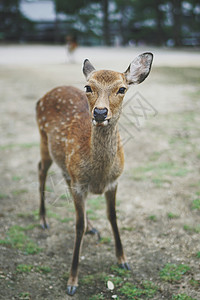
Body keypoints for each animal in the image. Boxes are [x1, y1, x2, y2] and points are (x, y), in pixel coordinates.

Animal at [36, 52, 153, 296]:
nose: (100, 112)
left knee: (62, 177)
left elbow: (113, 216)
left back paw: (92, 227)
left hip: (65, 162)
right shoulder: (80, 185)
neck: (99, 176)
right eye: (88, 87)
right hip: (44, 140)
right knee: (41, 170)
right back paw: (43, 219)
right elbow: (77, 226)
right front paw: (72, 281)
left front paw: (123, 259)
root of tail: (41, 99)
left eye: (122, 88)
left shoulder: (114, 182)